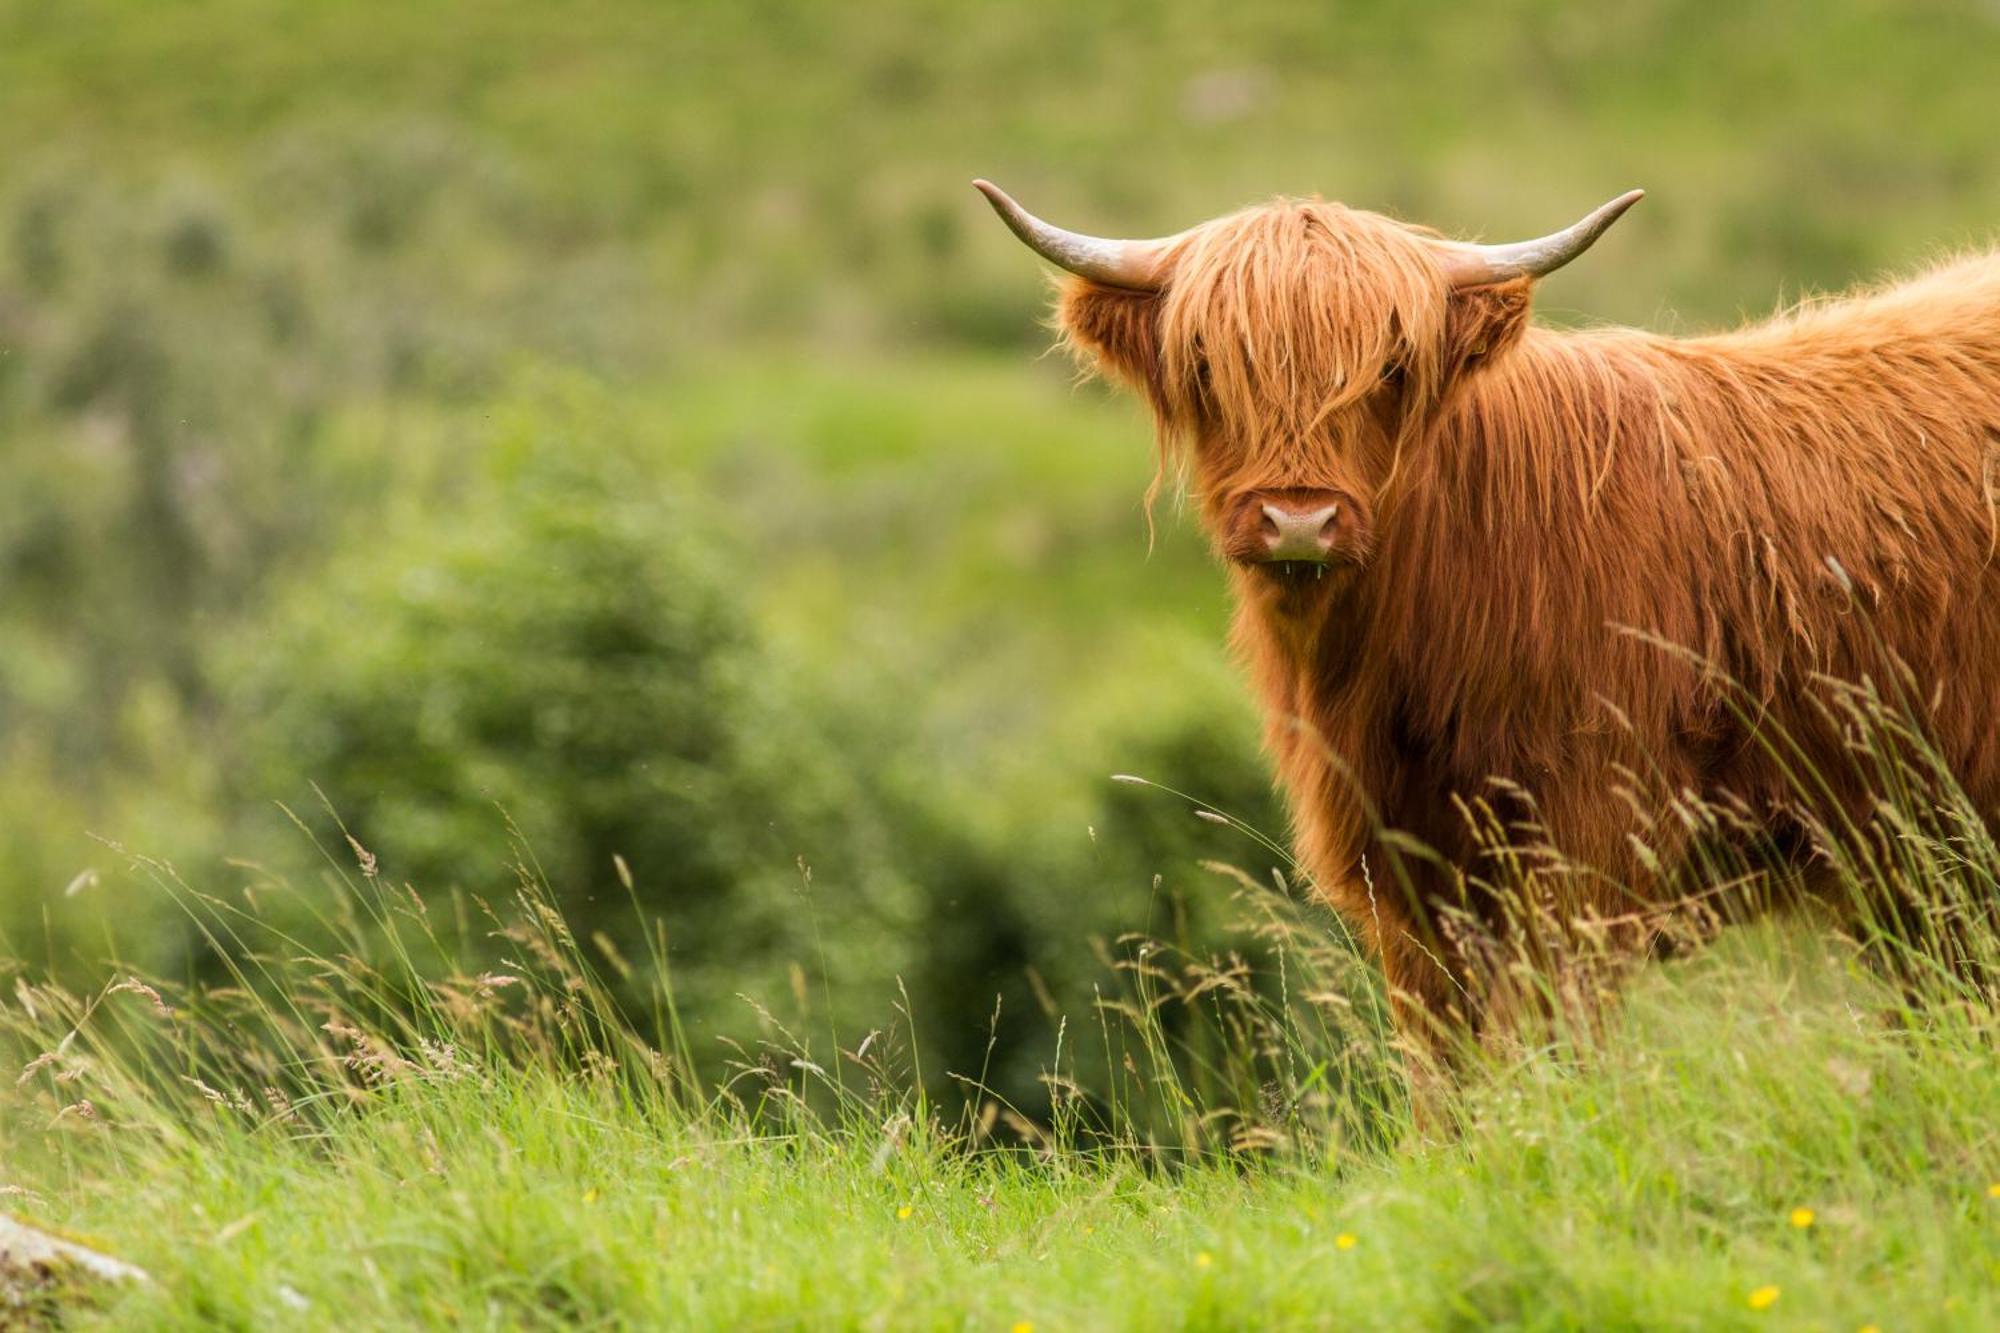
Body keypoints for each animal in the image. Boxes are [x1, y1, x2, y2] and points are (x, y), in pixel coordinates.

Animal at [976, 176, 2000, 1072]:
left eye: (1391, 369)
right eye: (1205, 366)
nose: (1299, 519)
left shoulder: (1590, 843)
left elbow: (1553, 1041)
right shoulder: (1406, 875)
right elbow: (1442, 1063)